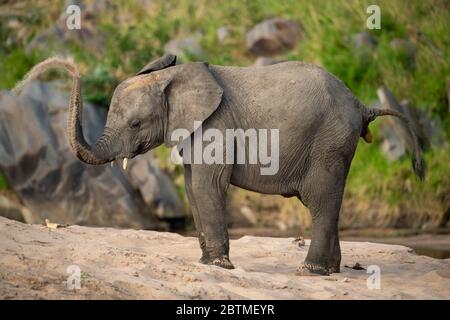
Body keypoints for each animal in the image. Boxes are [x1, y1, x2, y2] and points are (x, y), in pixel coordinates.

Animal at [15, 54, 426, 276]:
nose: (29, 77)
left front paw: (218, 266)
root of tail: (361, 105)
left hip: (329, 141)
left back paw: (311, 271)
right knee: (330, 202)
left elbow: (206, 186)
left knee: (322, 201)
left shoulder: (216, 126)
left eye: (135, 124)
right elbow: (191, 186)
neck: (170, 77)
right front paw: (207, 261)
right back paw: (331, 270)